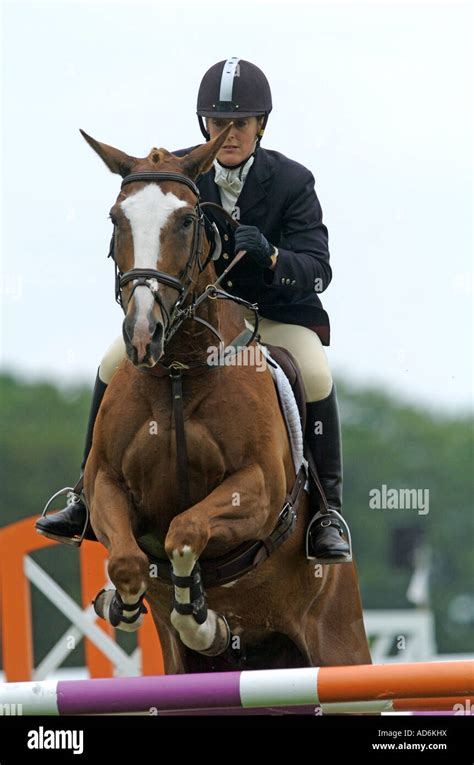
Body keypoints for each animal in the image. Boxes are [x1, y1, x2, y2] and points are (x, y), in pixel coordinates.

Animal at [79, 127, 372, 676]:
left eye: (186, 220)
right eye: (115, 219)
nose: (143, 335)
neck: (178, 373)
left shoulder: (254, 490)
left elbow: (185, 528)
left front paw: (202, 620)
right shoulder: (105, 482)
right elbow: (129, 558)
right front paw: (126, 604)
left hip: (338, 642)